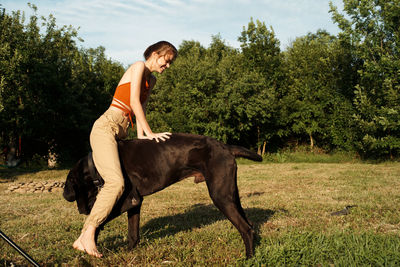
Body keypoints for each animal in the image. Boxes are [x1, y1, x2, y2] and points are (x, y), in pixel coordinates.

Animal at [62, 133, 262, 258]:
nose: (65, 194)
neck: (94, 165)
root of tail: (225, 146)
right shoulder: (135, 202)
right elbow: (133, 233)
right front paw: (129, 251)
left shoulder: (127, 200)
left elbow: (99, 220)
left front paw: (87, 243)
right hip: (231, 195)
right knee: (250, 225)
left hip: (221, 196)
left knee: (245, 228)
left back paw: (248, 258)